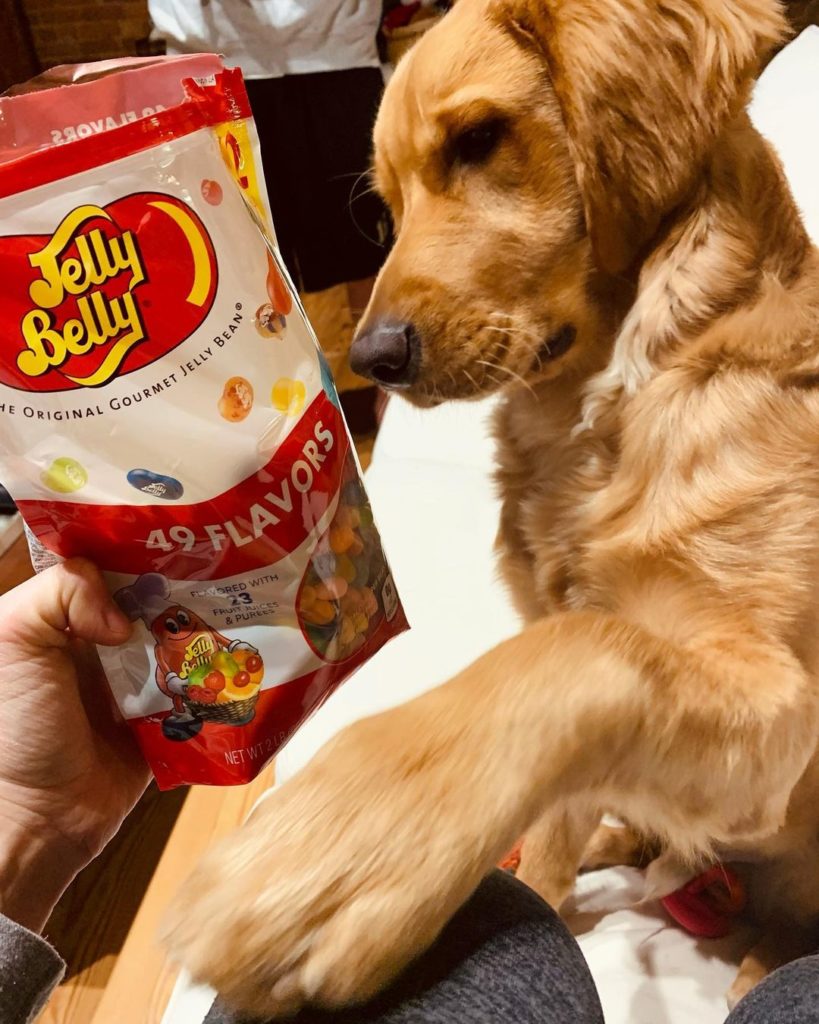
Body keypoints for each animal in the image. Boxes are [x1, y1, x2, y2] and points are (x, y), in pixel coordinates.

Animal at [163, 0, 819, 1015]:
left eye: (477, 139)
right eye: (385, 206)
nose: (373, 357)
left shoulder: (780, 700)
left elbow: (580, 650)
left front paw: (337, 847)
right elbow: (554, 797)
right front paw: (533, 884)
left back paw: (759, 960)